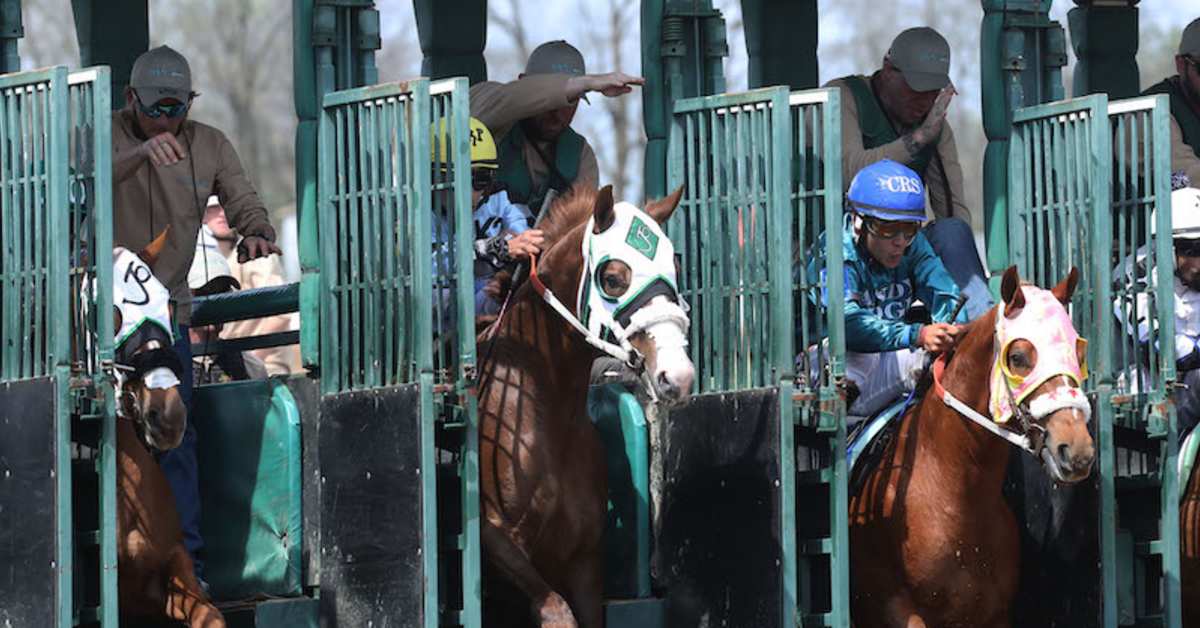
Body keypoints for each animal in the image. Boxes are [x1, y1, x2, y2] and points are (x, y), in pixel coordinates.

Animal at [477, 184, 695, 628]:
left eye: (674, 271)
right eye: (612, 279)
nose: (677, 375)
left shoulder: (584, 562)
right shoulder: (495, 537)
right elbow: (556, 611)